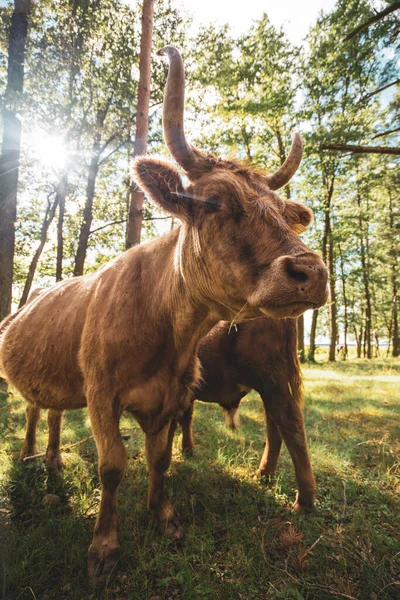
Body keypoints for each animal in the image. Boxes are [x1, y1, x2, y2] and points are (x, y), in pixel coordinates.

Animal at [179, 316, 316, 508]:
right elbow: (185, 419)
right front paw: (187, 450)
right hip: (269, 389)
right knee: (275, 426)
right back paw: (263, 475)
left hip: (271, 382)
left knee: (290, 422)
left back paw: (303, 501)